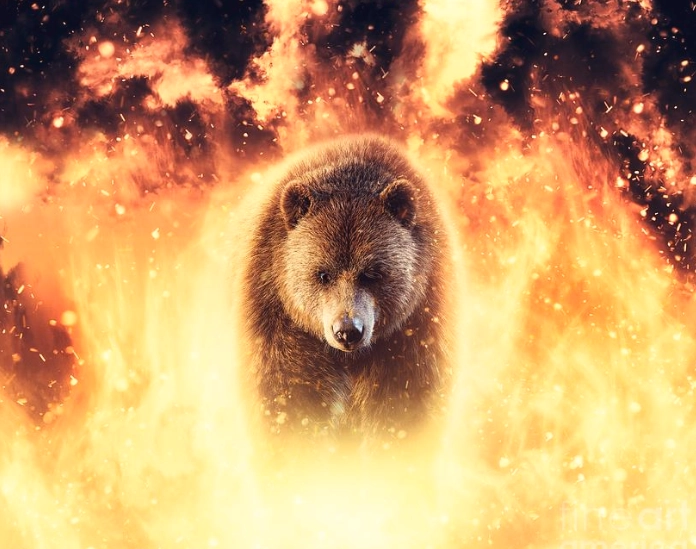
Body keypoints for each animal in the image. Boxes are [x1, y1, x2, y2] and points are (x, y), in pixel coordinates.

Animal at [240, 135, 454, 442]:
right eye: (322, 274)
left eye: (372, 273)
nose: (348, 331)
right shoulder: (276, 318)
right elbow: (289, 397)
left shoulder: (416, 326)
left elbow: (404, 401)